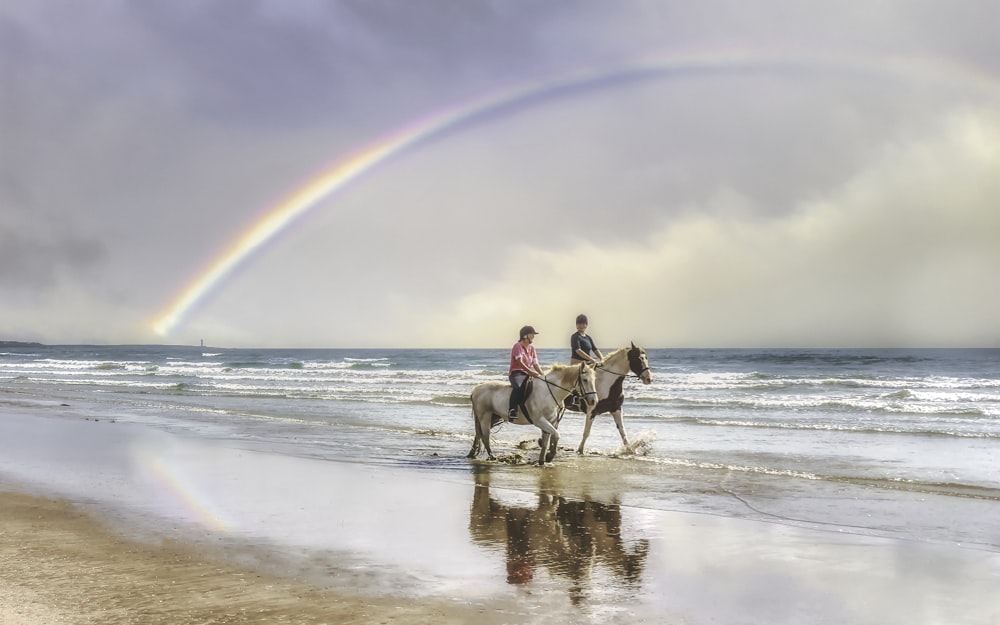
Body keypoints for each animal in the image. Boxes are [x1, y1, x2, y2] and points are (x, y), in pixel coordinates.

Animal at [466, 360, 596, 464]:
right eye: (585, 380)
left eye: (594, 380)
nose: (593, 401)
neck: (550, 392)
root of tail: (476, 388)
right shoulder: (540, 421)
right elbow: (556, 435)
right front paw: (550, 456)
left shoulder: (551, 421)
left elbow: (547, 441)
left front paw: (542, 460)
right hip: (485, 416)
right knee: (485, 436)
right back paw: (492, 457)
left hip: (493, 416)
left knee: (479, 434)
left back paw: (473, 454)